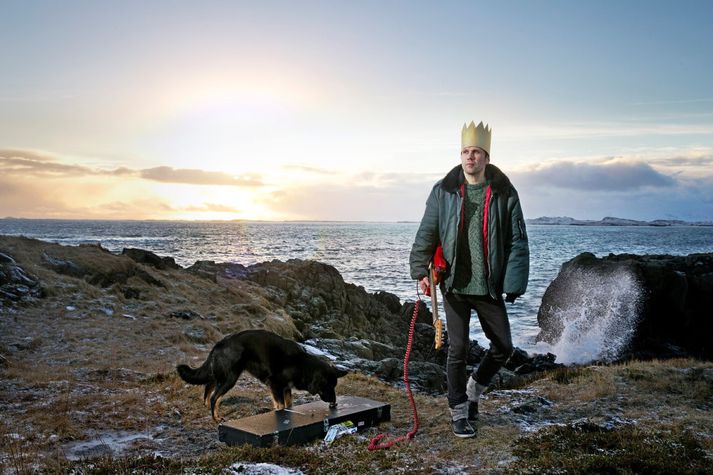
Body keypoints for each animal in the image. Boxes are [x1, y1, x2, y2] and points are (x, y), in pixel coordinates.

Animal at [175, 330, 348, 422]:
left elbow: (288, 405)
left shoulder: (285, 388)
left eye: (334, 386)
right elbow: (281, 406)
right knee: (214, 397)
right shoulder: (275, 385)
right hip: (230, 378)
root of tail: (218, 344)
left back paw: (206, 406)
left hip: (221, 375)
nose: (334, 403)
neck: (301, 365)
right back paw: (216, 417)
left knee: (208, 386)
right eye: (327, 386)